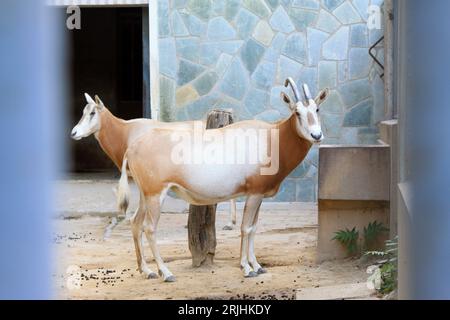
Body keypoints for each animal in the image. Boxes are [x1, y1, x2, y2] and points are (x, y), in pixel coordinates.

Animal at [116, 79, 326, 282]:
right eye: (297, 112)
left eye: (317, 109)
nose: (316, 136)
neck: (271, 138)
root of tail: (133, 147)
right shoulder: (254, 194)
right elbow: (246, 228)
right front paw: (246, 268)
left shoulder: (258, 195)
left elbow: (254, 228)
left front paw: (257, 266)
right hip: (155, 194)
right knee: (149, 228)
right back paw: (166, 273)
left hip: (146, 195)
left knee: (135, 223)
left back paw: (146, 271)